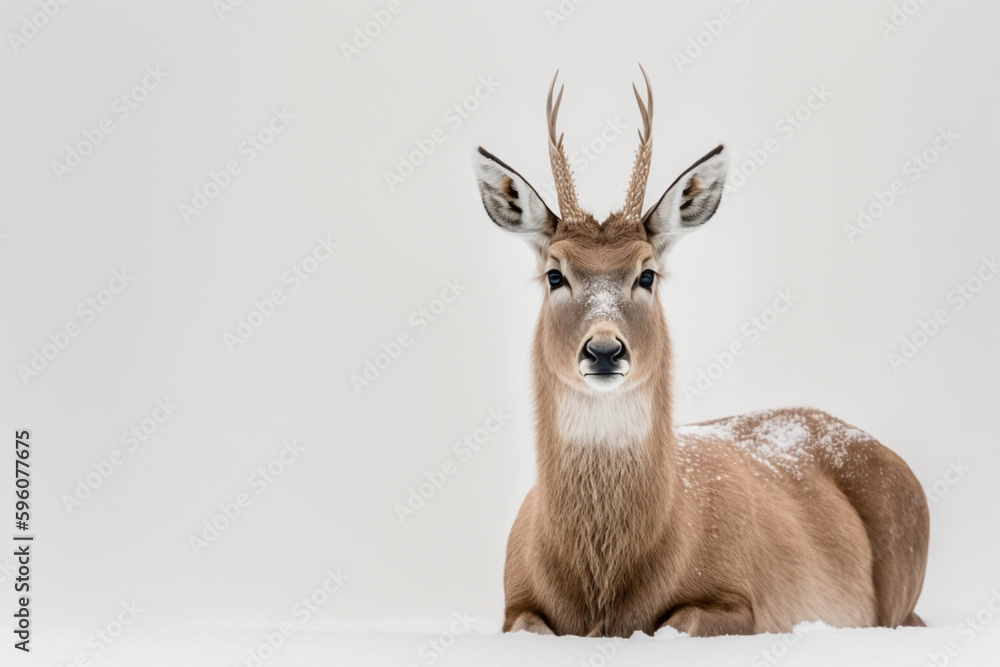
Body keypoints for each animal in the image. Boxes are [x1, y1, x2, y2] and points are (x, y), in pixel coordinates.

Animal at [470, 67, 930, 638]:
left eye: (647, 273)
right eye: (555, 274)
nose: (604, 349)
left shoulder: (740, 600)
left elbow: (679, 622)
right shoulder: (515, 603)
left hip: (902, 585)